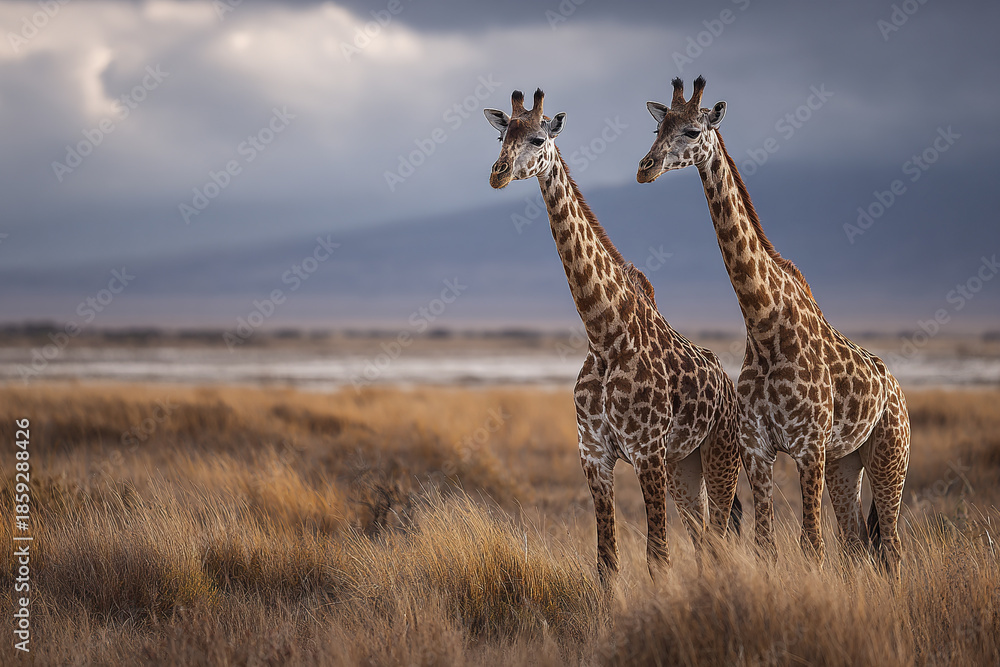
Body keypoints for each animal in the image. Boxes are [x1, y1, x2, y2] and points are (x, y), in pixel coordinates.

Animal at [484, 88, 743, 586]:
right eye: (503, 136)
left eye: (539, 138)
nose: (498, 173)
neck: (605, 335)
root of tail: (729, 384)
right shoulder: (594, 456)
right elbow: (607, 562)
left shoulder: (647, 453)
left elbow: (657, 559)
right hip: (684, 465)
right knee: (703, 539)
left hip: (720, 453)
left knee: (720, 540)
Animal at [636, 76, 910, 579]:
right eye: (657, 127)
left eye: (691, 131)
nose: (646, 169)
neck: (764, 326)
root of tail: (897, 390)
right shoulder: (758, 448)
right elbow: (767, 546)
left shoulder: (808, 447)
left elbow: (811, 546)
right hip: (846, 462)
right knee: (857, 542)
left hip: (889, 456)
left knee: (892, 547)